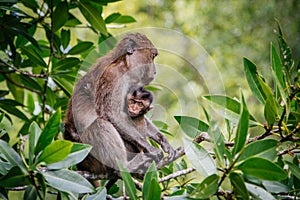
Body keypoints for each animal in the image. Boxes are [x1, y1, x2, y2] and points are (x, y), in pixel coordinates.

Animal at [63, 32, 176, 178]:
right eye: (152, 57)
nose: (155, 71)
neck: (124, 64)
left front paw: (163, 141)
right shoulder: (114, 76)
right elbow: (112, 114)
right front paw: (151, 148)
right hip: (89, 155)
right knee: (99, 124)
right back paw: (125, 166)